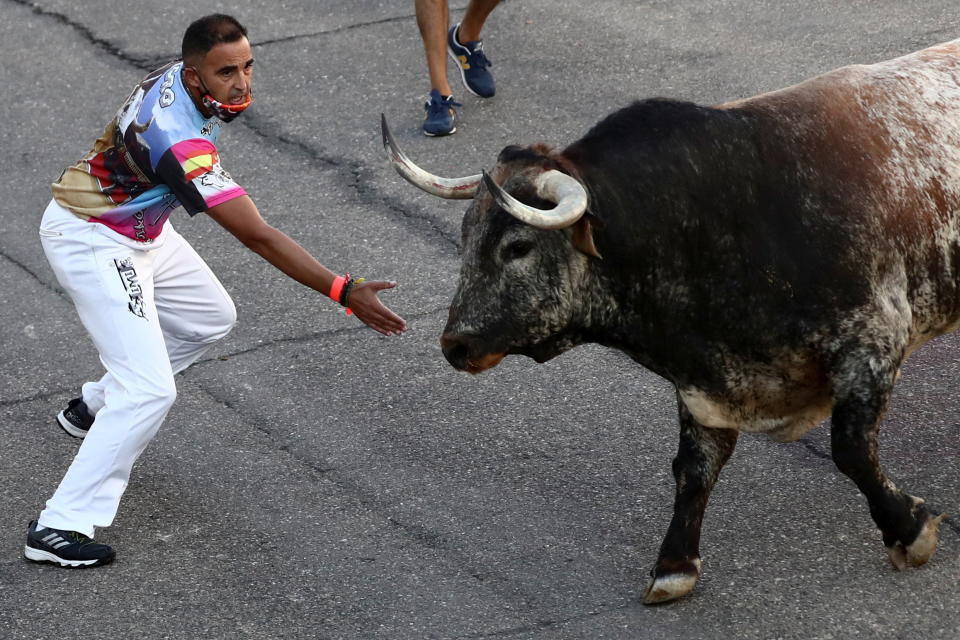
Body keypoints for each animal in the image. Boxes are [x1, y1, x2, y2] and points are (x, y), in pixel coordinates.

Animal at [378, 37, 956, 604]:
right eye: (466, 236)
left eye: (518, 246)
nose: (455, 344)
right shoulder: (704, 383)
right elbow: (694, 468)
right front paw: (675, 565)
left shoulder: (871, 343)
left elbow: (851, 450)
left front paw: (909, 529)